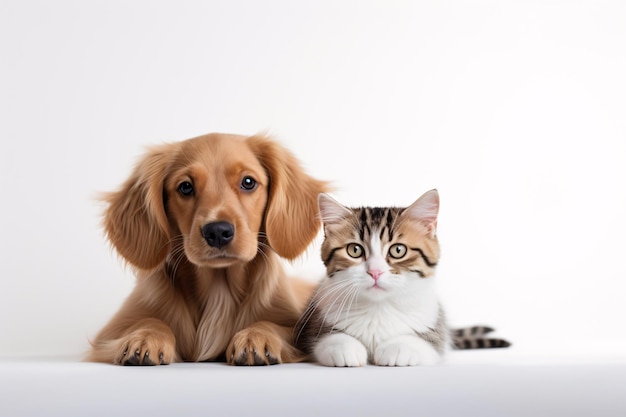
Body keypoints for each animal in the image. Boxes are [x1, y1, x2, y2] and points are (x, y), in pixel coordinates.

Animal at [87, 133, 326, 364]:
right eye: (185, 187)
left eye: (248, 182)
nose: (218, 231)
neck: (218, 289)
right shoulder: (108, 334)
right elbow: (149, 320)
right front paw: (145, 338)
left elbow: (273, 325)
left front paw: (256, 337)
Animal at [294, 190, 508, 366]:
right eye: (354, 250)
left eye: (398, 250)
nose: (375, 272)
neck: (379, 308)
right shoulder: (313, 321)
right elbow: (324, 339)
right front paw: (345, 347)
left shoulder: (436, 326)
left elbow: (428, 342)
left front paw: (399, 349)